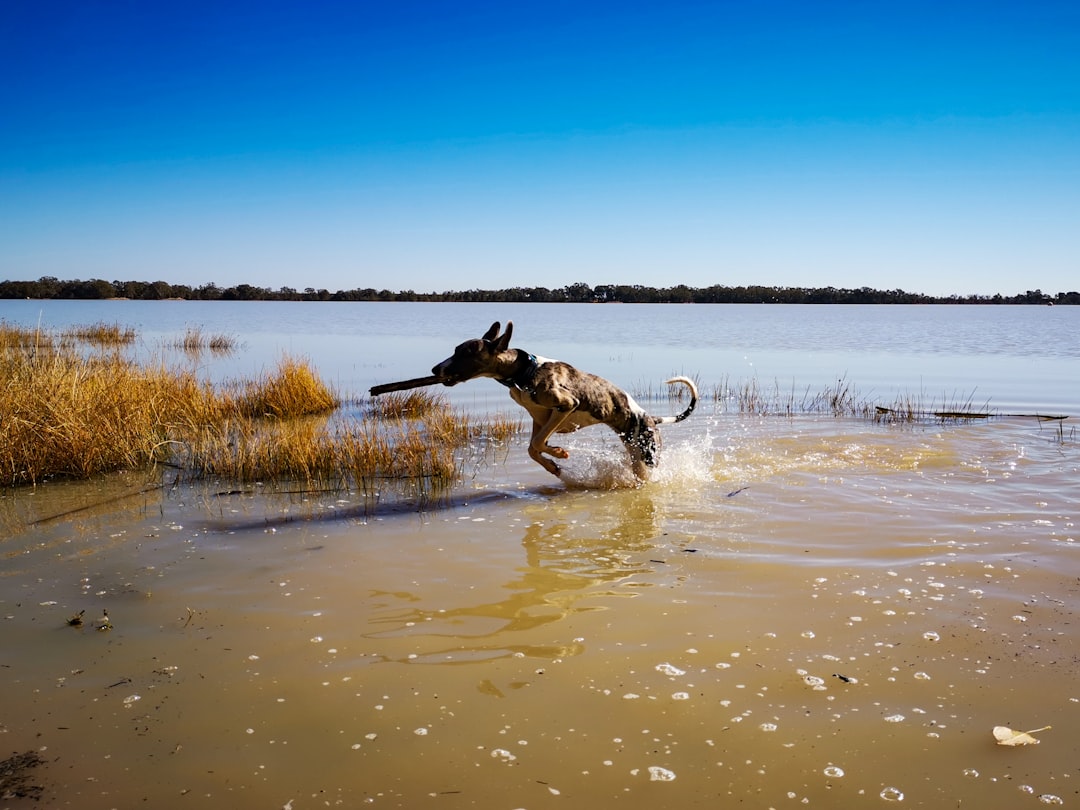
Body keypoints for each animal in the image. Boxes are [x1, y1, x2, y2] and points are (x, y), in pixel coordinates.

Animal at [432, 319, 699, 479]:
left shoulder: (567, 405)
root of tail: (651, 418)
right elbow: (532, 448)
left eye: (465, 352)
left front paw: (558, 454)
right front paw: (553, 465)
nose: (435, 369)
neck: (524, 372)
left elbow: (538, 442)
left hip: (648, 454)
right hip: (634, 452)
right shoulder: (540, 419)